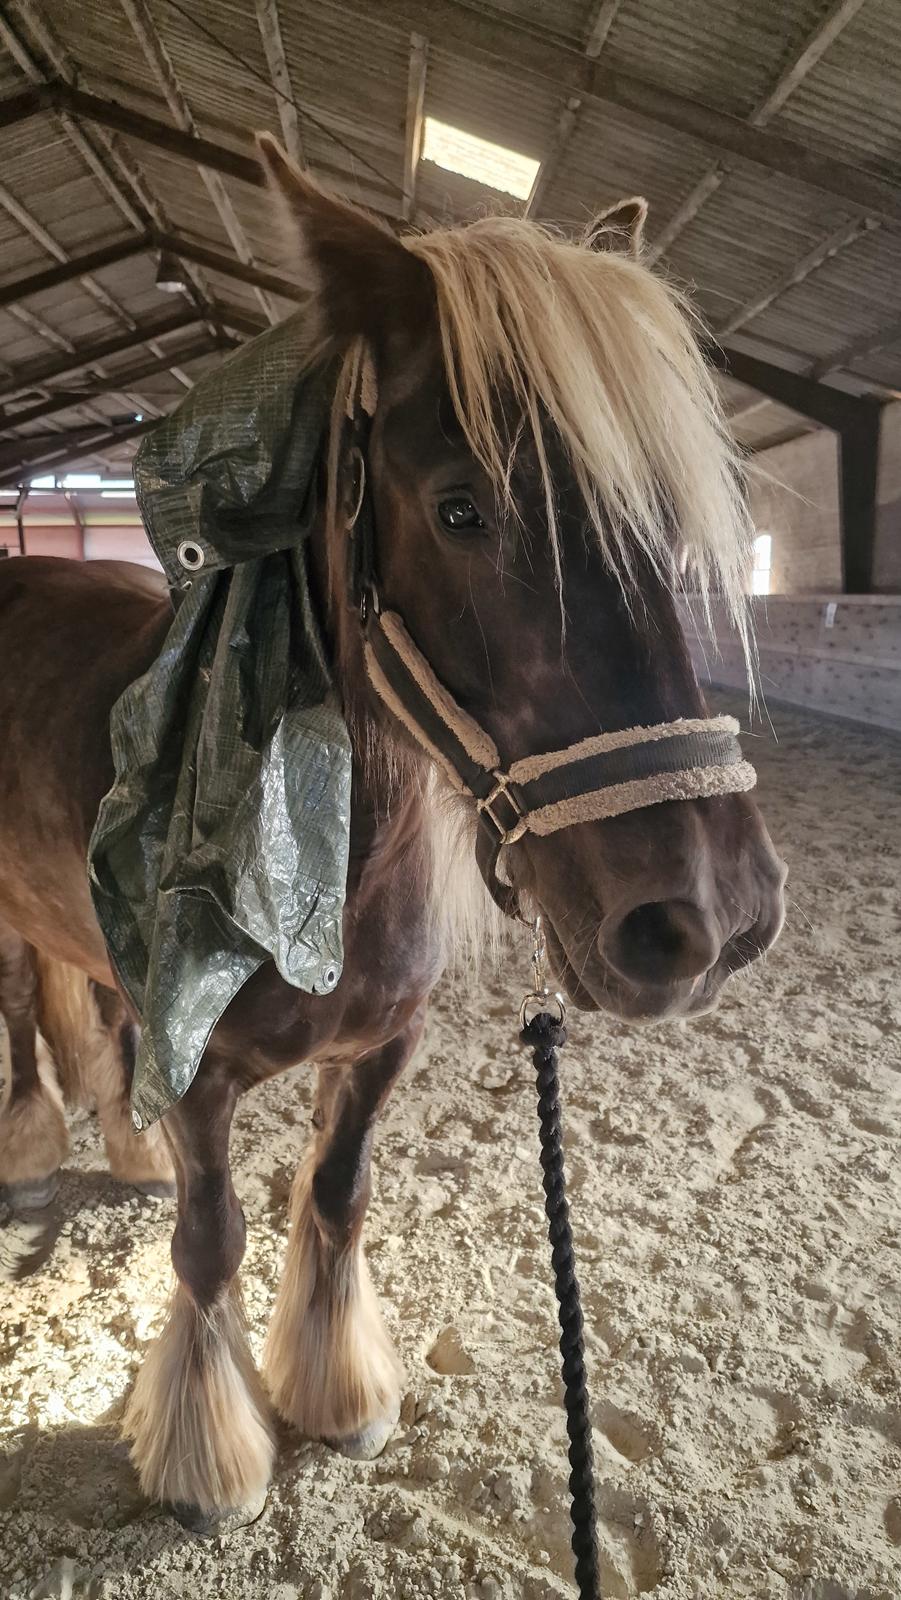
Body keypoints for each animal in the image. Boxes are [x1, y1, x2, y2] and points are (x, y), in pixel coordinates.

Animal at [0, 152, 787, 1536]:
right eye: (461, 508)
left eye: (654, 516)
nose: (708, 917)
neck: (321, 862)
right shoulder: (202, 1075)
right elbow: (210, 1241)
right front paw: (211, 1462)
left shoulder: (381, 1050)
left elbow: (335, 1196)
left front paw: (338, 1396)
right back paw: (39, 1156)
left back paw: (119, 1147)